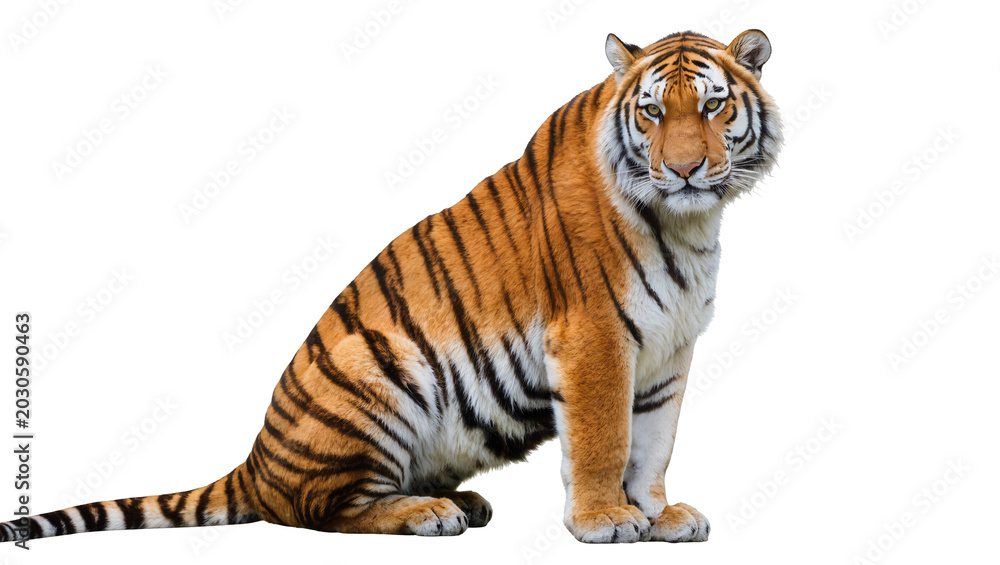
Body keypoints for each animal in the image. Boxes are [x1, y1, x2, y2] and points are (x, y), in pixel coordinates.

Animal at [1, 29, 781, 545]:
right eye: (652, 112)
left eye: (711, 107)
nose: (683, 169)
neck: (688, 222)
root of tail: (254, 463)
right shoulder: (594, 338)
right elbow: (604, 439)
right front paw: (605, 522)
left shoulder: (668, 348)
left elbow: (652, 443)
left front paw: (658, 514)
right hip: (375, 367)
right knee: (320, 512)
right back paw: (427, 513)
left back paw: (462, 502)